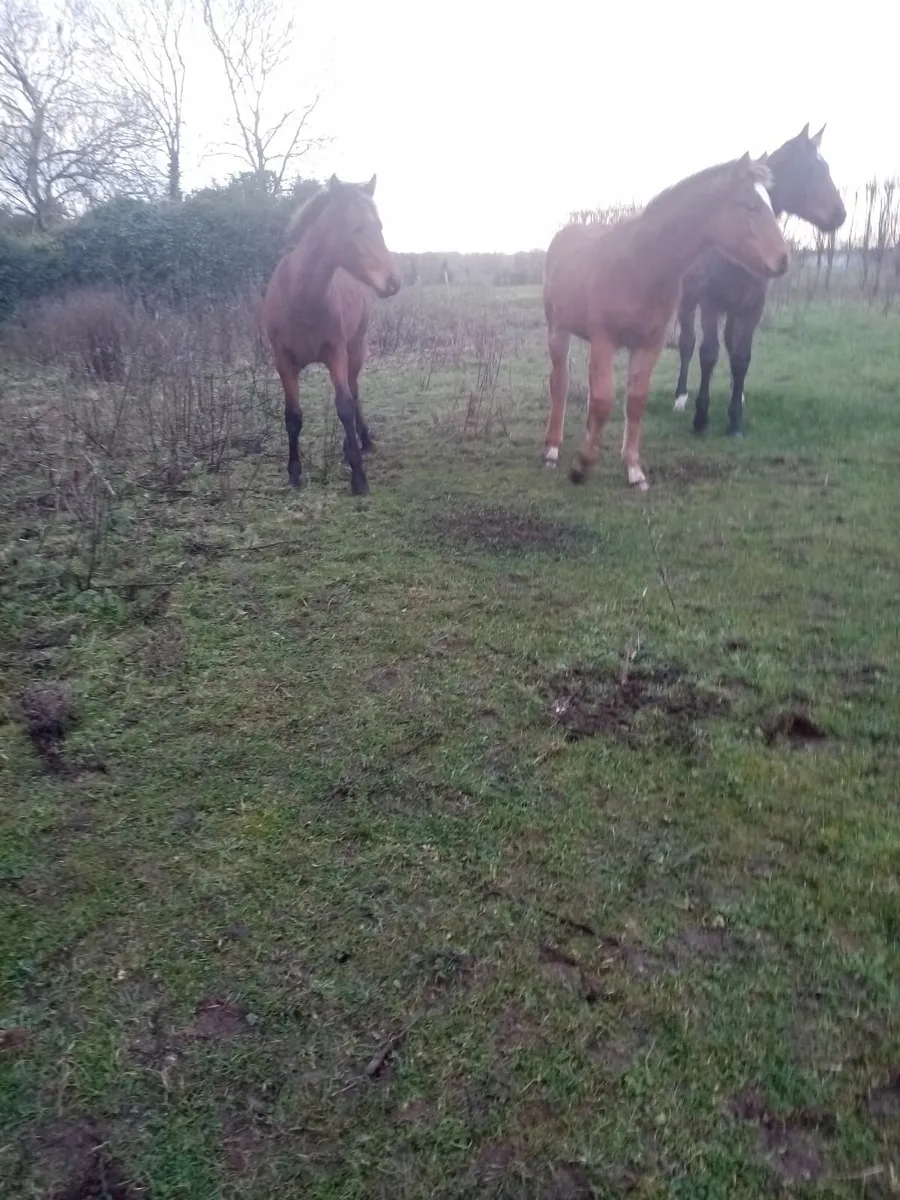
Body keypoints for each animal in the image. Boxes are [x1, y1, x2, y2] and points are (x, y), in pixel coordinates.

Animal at [262, 174, 402, 496]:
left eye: (379, 227)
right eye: (356, 228)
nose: (393, 282)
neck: (301, 297)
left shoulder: (336, 352)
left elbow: (345, 406)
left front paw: (359, 478)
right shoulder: (282, 360)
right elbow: (293, 415)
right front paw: (294, 474)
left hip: (356, 347)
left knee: (354, 390)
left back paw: (360, 442)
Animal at [542, 154, 791, 492]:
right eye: (748, 205)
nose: (783, 259)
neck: (641, 263)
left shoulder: (649, 344)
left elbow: (634, 401)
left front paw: (634, 471)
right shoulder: (605, 340)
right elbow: (604, 401)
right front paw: (582, 466)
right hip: (557, 329)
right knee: (560, 383)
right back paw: (552, 450)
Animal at [673, 125, 846, 436]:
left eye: (826, 167)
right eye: (811, 169)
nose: (839, 215)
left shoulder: (753, 306)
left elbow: (742, 356)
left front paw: (735, 419)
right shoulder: (710, 302)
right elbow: (708, 354)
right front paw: (701, 418)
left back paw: (737, 393)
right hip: (688, 299)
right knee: (688, 343)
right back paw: (680, 398)